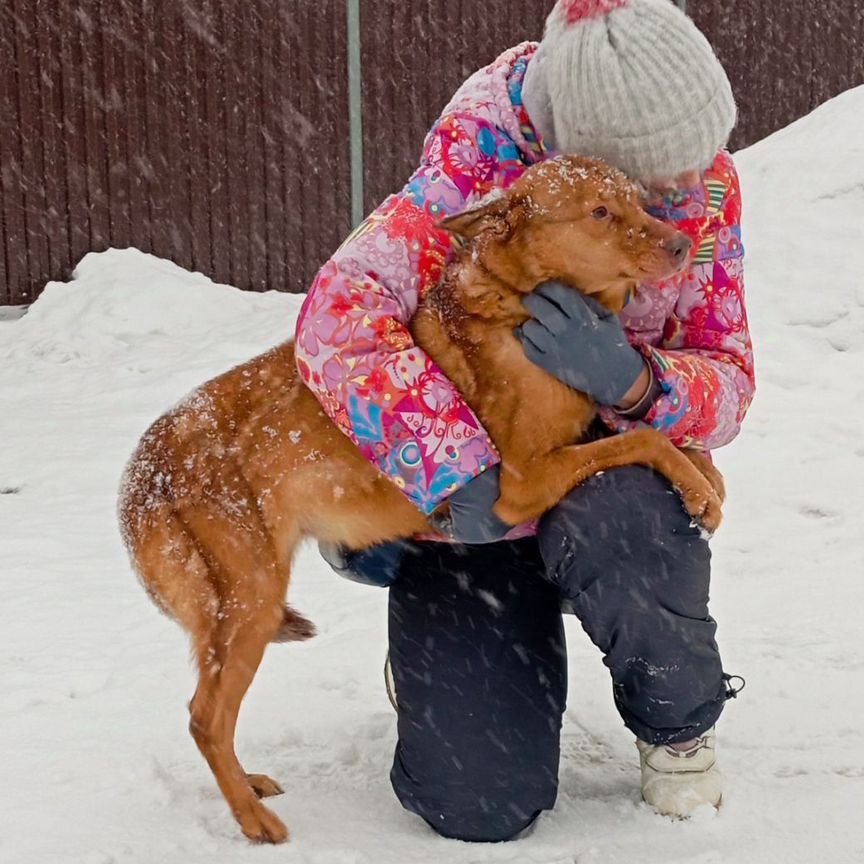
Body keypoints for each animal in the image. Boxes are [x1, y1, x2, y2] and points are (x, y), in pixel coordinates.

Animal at [116, 155, 724, 844]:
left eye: (638, 201)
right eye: (599, 212)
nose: (682, 244)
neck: (522, 306)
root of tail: (146, 468)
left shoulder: (583, 424)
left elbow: (652, 430)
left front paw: (706, 477)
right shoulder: (524, 481)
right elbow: (644, 438)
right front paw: (696, 486)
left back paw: (249, 786)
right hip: (252, 599)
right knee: (204, 717)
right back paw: (253, 819)